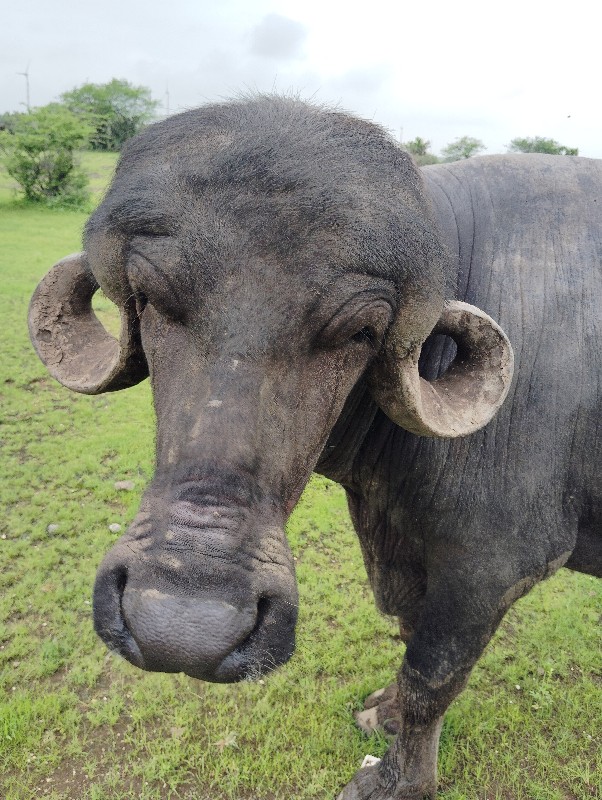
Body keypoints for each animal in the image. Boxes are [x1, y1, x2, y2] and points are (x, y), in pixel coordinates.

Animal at [29, 95, 601, 799]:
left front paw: (396, 780)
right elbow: (409, 649)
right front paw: (383, 712)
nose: (186, 629)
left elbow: (432, 676)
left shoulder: (492, 565)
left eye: (361, 331)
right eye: (152, 300)